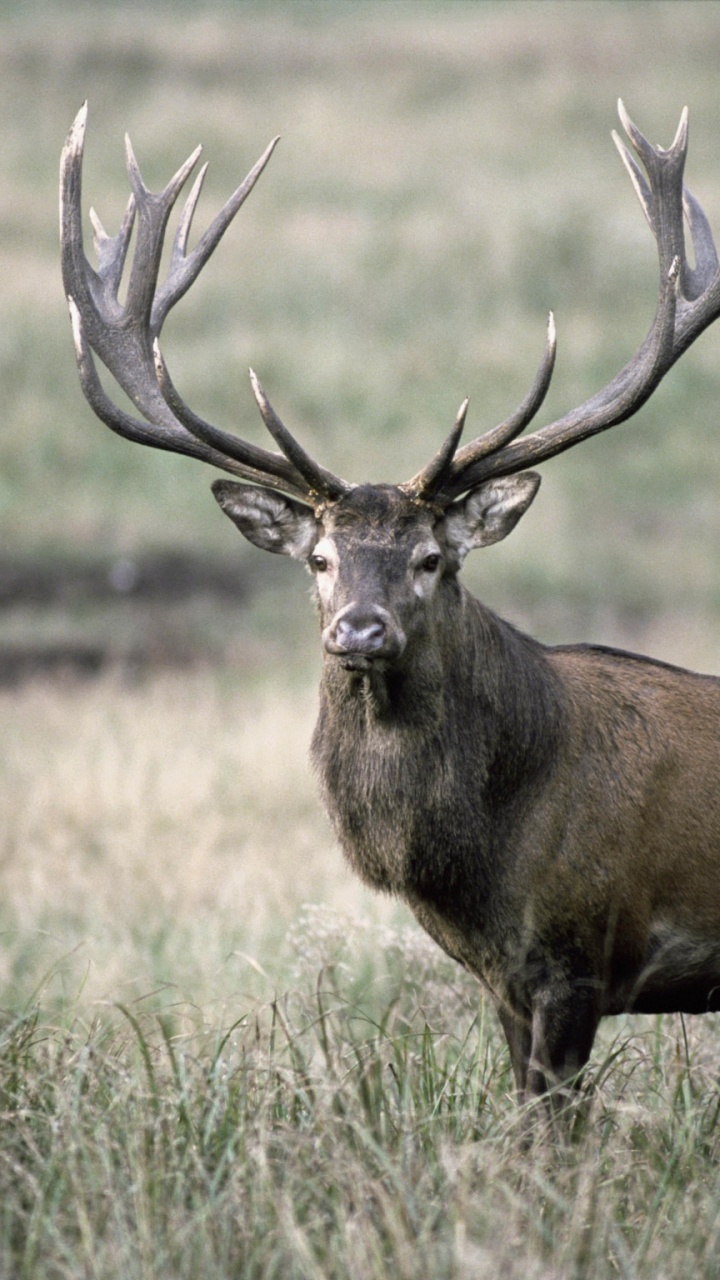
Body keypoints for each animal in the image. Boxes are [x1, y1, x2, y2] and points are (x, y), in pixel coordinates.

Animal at [60, 101, 720, 1108]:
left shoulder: (580, 953)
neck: (488, 856)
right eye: (320, 558)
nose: (358, 630)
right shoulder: (507, 979)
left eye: (431, 559)